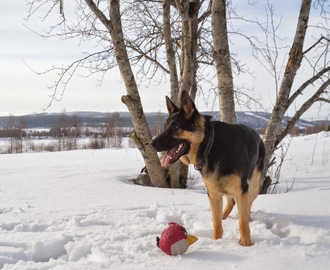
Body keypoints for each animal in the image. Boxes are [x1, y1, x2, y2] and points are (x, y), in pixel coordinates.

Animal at [151, 91, 264, 247]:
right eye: (165, 127)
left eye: (176, 127)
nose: (152, 143)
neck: (209, 146)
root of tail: (258, 136)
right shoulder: (213, 194)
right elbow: (216, 223)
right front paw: (217, 241)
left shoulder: (241, 191)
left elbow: (243, 223)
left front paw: (246, 244)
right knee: (230, 203)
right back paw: (224, 217)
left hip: (252, 188)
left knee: (246, 206)